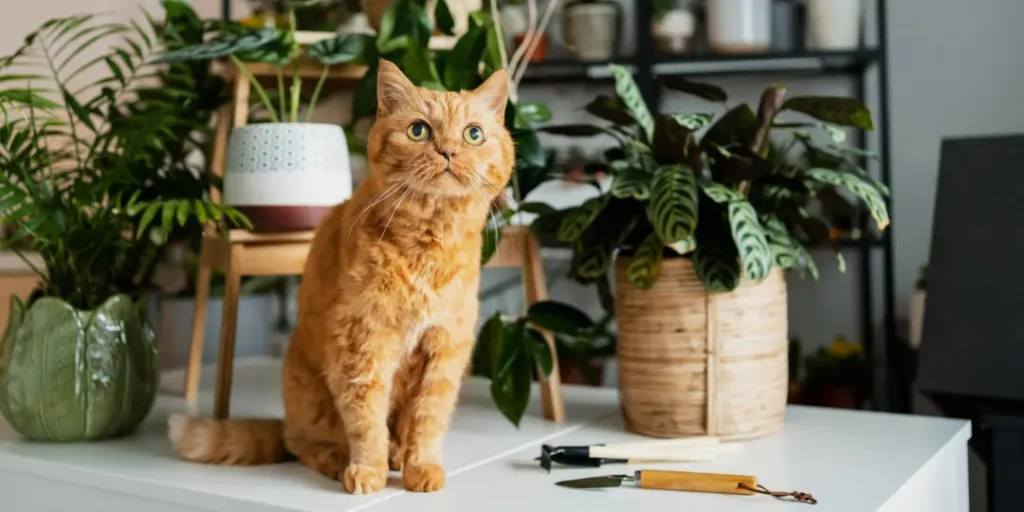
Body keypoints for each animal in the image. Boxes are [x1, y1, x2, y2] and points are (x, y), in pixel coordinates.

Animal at [171, 60, 516, 495]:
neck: (427, 245)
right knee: (302, 443)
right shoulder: (361, 341)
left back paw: (398, 455)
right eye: (419, 131)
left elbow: (428, 418)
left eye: (473, 134)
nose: (449, 151)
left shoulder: (445, 347)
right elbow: (366, 418)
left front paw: (421, 467)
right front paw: (368, 470)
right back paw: (340, 459)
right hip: (308, 395)